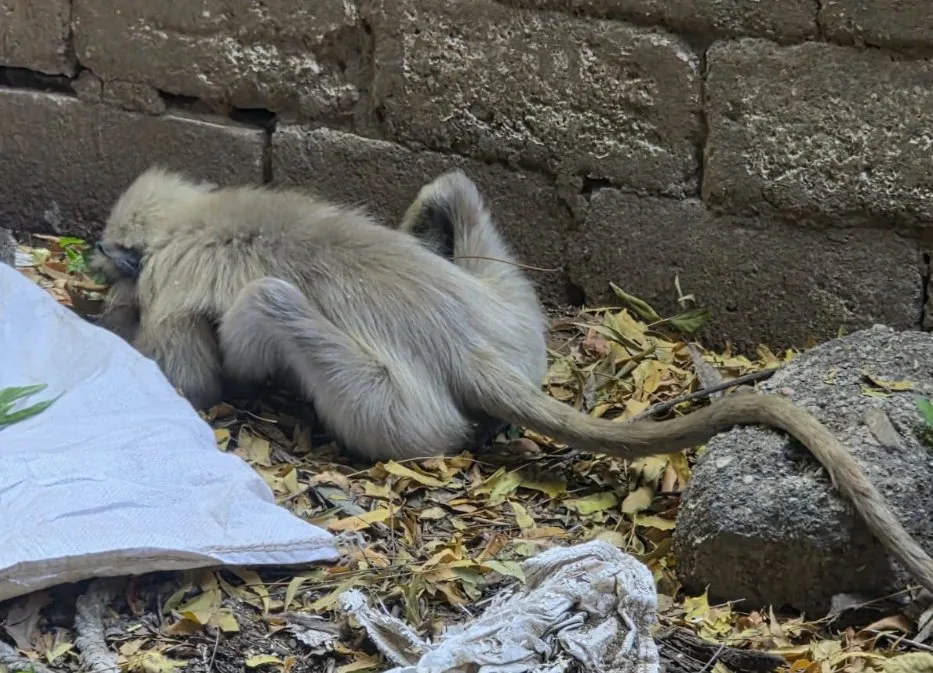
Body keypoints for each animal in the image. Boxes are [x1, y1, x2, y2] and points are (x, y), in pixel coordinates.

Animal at [88, 165, 933, 596]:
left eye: (111, 254)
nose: (98, 270)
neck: (195, 220)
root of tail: (474, 344)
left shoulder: (169, 287)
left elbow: (184, 374)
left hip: (401, 411)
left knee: (269, 301)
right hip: (516, 313)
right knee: (449, 184)